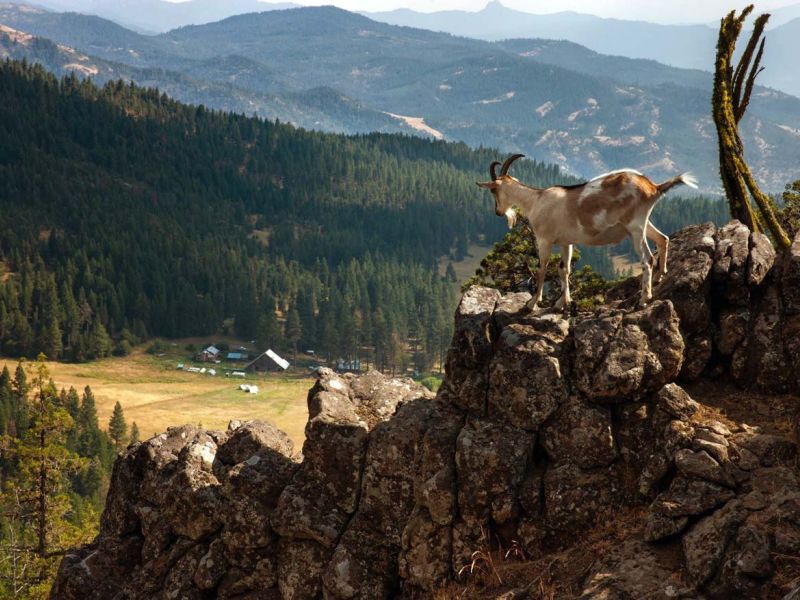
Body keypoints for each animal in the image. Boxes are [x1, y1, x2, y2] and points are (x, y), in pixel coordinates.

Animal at [477, 154, 697, 309]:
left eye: (493, 190)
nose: (498, 212)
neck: (536, 200)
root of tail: (653, 187)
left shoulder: (544, 240)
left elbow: (542, 269)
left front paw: (532, 304)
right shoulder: (566, 242)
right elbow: (564, 269)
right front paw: (561, 303)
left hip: (635, 227)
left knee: (647, 259)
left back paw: (644, 298)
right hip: (643, 224)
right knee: (663, 238)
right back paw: (661, 276)